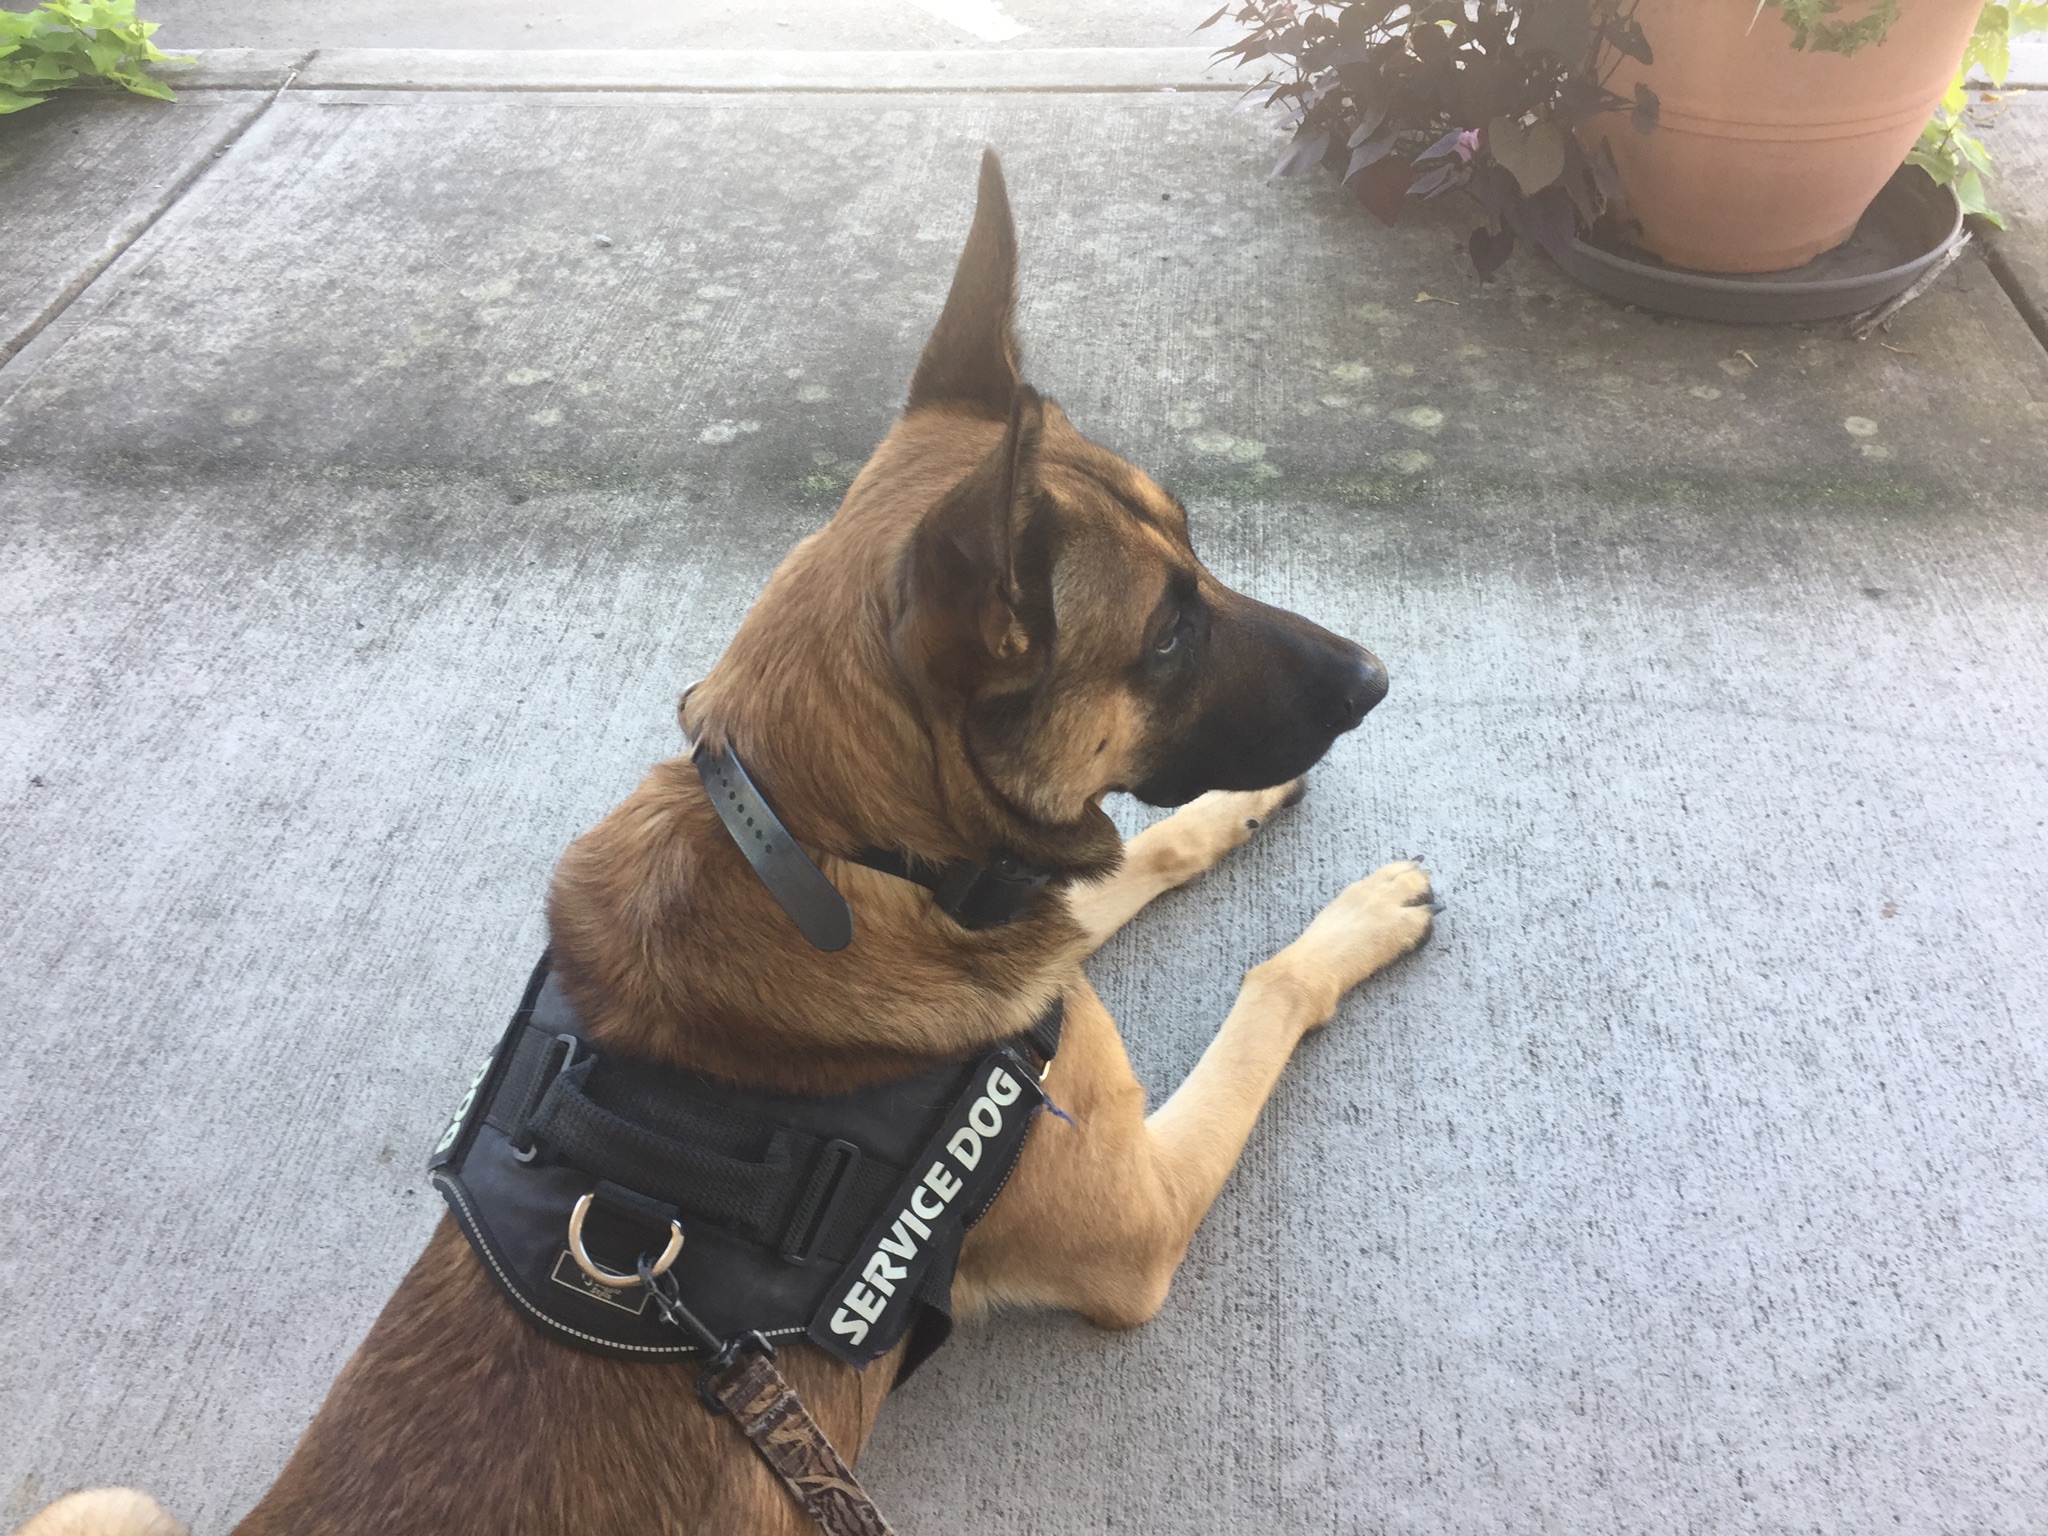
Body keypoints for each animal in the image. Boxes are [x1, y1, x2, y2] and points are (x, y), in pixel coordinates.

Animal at [30, 149, 1433, 1536]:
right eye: (1167, 637)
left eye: (1196, 552)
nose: (1374, 677)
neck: (820, 847)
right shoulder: (1137, 1216)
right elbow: (1264, 984)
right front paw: (1354, 923)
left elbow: (1133, 864)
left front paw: (1229, 815)